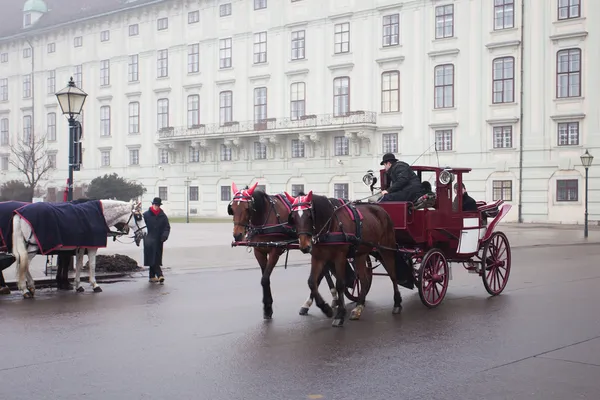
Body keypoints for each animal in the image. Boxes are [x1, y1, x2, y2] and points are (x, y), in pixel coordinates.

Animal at [11, 199, 145, 296]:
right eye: (139, 217)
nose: (144, 233)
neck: (99, 215)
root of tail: (19, 214)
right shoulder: (91, 247)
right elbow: (92, 265)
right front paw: (94, 284)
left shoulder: (81, 246)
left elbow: (79, 264)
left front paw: (78, 285)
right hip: (32, 249)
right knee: (24, 264)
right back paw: (25, 289)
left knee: (24, 264)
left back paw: (30, 287)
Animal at [227, 182, 338, 318]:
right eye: (232, 209)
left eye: (247, 208)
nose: (237, 235)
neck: (264, 218)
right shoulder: (259, 251)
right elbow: (265, 278)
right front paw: (267, 306)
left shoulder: (275, 251)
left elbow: (264, 279)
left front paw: (268, 307)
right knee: (324, 271)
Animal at [284, 191, 404, 328]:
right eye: (293, 217)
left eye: (309, 216)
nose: (304, 246)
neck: (330, 225)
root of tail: (381, 210)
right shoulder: (318, 257)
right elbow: (312, 282)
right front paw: (326, 308)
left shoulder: (339, 256)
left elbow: (340, 284)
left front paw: (340, 314)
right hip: (360, 254)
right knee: (364, 280)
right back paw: (358, 307)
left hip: (386, 249)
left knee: (393, 275)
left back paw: (397, 303)